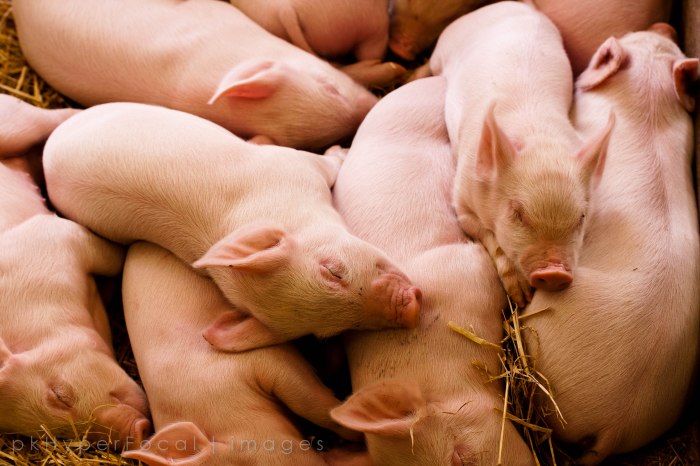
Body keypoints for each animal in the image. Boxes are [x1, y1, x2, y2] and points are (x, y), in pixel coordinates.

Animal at [43, 102, 421, 353]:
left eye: (333, 271)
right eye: (330, 331)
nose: (410, 309)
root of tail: (47, 160)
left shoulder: (289, 165)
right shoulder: (296, 166)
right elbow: (326, 161)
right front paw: (340, 150)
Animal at [429, 1, 615, 307]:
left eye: (581, 217)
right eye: (517, 213)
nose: (554, 273)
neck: (538, 137)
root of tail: (510, 4)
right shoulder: (461, 203)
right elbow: (489, 236)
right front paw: (521, 298)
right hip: (443, 47)